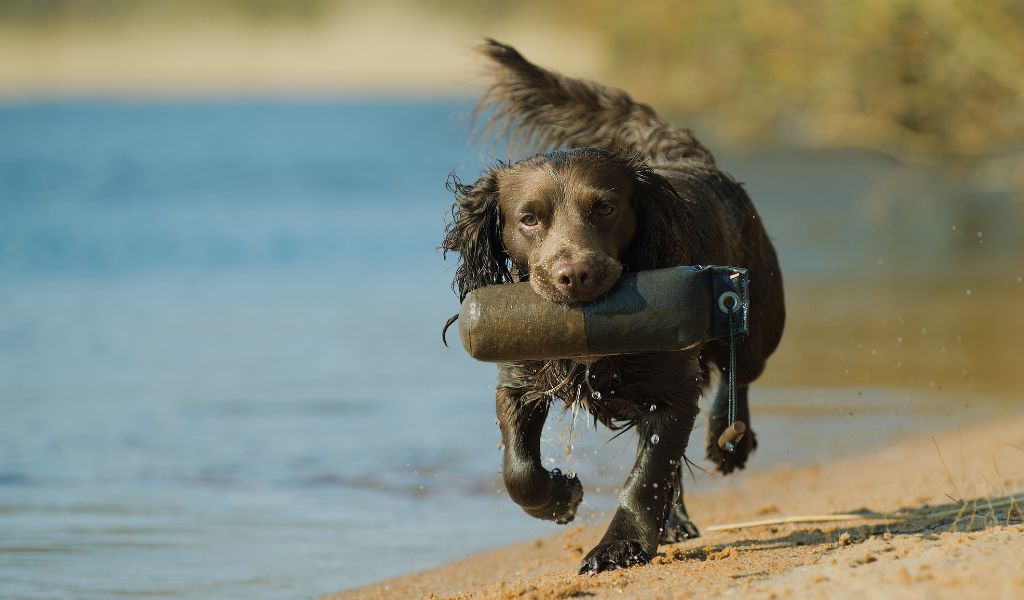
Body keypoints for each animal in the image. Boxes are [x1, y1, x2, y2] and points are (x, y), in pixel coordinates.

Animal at [440, 39, 782, 573]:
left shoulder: (671, 392)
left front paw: (618, 546)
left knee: (737, 369)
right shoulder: (518, 379)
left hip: (760, 318)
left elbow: (647, 476)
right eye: (529, 218)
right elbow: (519, 471)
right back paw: (676, 520)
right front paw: (560, 497)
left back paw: (729, 442)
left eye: (605, 207)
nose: (574, 275)